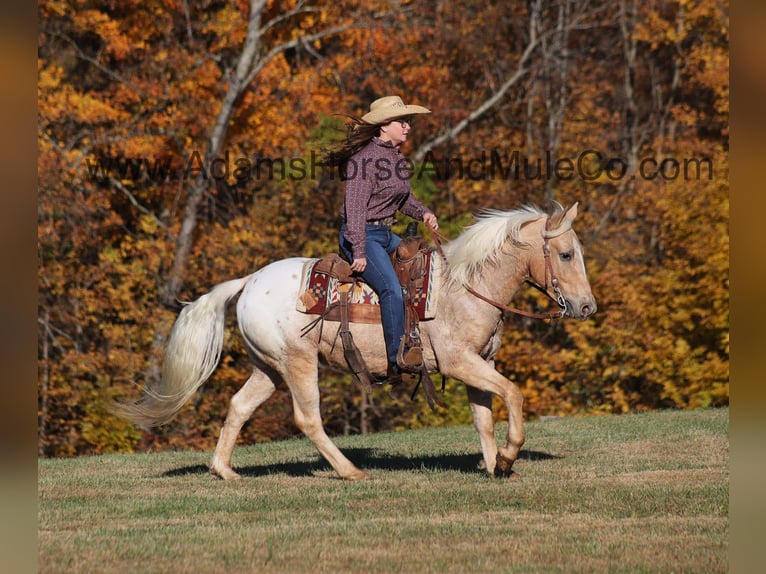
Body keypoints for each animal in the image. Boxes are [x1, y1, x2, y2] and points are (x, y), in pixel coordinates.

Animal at [115, 203, 596, 480]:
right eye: (566, 254)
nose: (587, 306)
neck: (465, 286)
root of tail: (248, 281)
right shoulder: (460, 362)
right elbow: (513, 395)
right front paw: (510, 457)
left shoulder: (478, 365)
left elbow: (483, 418)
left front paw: (496, 465)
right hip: (298, 364)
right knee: (307, 419)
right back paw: (350, 472)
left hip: (268, 368)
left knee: (238, 406)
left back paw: (225, 472)